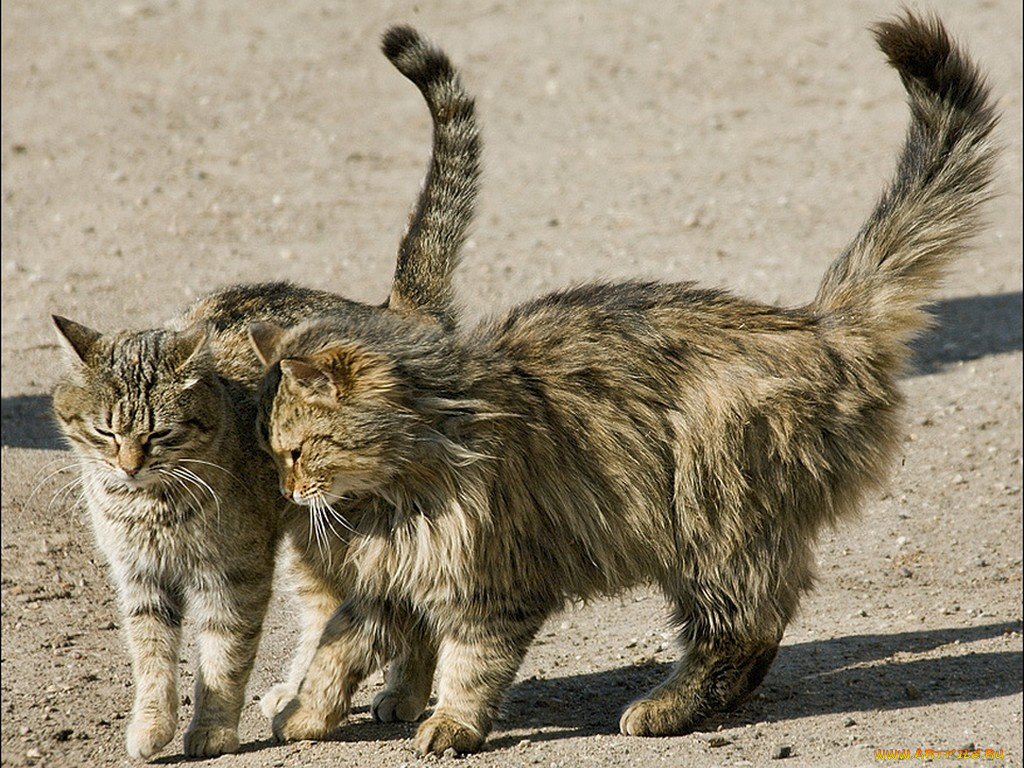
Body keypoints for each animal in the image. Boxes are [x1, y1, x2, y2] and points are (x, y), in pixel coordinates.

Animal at [55, 25, 483, 765]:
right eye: (106, 431)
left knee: (404, 609)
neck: (150, 504)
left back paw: (397, 693)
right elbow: (152, 659)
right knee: (330, 611)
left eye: (160, 433)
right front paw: (151, 726)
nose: (128, 466)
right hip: (313, 543)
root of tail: (397, 313)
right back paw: (306, 688)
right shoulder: (141, 579)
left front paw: (211, 731)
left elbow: (222, 656)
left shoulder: (235, 572)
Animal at [251, 12, 1003, 757]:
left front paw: (452, 725)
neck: (403, 491)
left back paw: (664, 707)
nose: (285, 490)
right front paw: (305, 716)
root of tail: (817, 324)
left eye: (295, 451)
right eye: (274, 453)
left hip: (711, 516)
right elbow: (334, 652)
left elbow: (470, 662)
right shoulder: (385, 587)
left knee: (744, 627)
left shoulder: (497, 582)